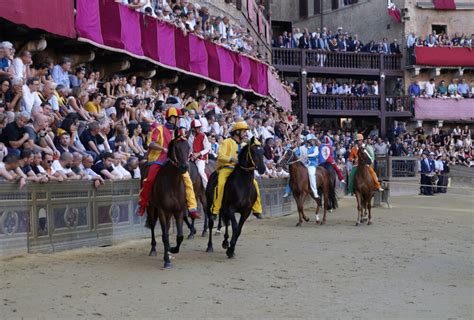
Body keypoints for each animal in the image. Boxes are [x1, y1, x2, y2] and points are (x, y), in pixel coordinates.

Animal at [144, 136, 191, 268]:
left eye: (188, 147)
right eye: (176, 148)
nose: (184, 167)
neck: (172, 183)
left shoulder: (178, 210)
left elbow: (179, 236)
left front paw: (172, 249)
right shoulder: (161, 210)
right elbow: (164, 236)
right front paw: (167, 260)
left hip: (169, 212)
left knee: (168, 226)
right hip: (151, 207)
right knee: (153, 225)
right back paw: (153, 249)